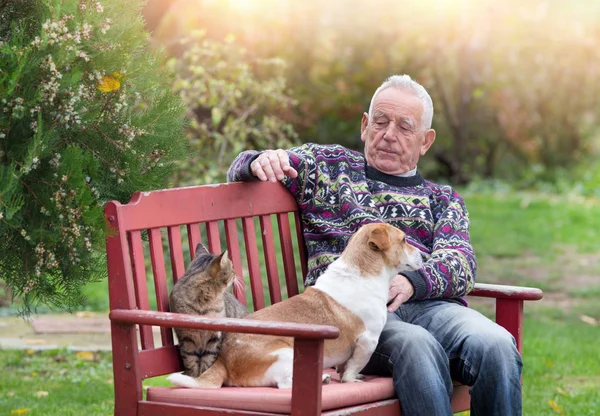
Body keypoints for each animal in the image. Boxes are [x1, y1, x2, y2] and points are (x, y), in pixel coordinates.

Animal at [168, 244, 247, 376]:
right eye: (231, 266)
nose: (235, 272)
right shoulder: (187, 337)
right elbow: (191, 361)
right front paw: (194, 377)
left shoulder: (214, 338)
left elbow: (208, 361)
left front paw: (203, 375)